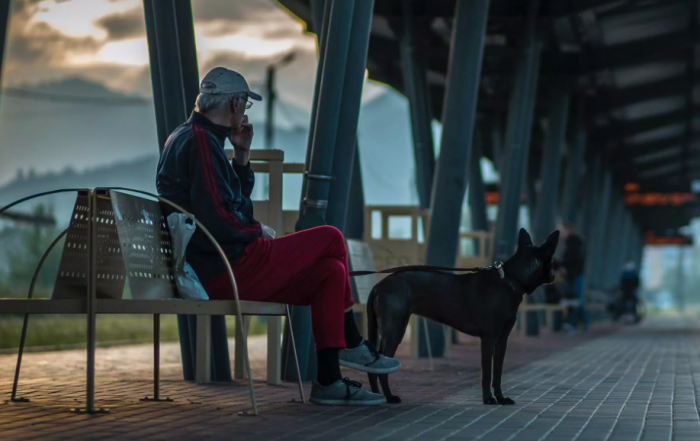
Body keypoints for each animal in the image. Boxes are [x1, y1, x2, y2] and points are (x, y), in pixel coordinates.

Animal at [366, 229, 556, 404]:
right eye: (552, 260)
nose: (556, 273)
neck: (510, 280)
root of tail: (377, 286)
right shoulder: (488, 338)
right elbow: (487, 373)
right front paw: (488, 399)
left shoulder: (502, 340)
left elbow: (497, 373)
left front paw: (501, 398)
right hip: (394, 329)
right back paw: (389, 397)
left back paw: (377, 396)